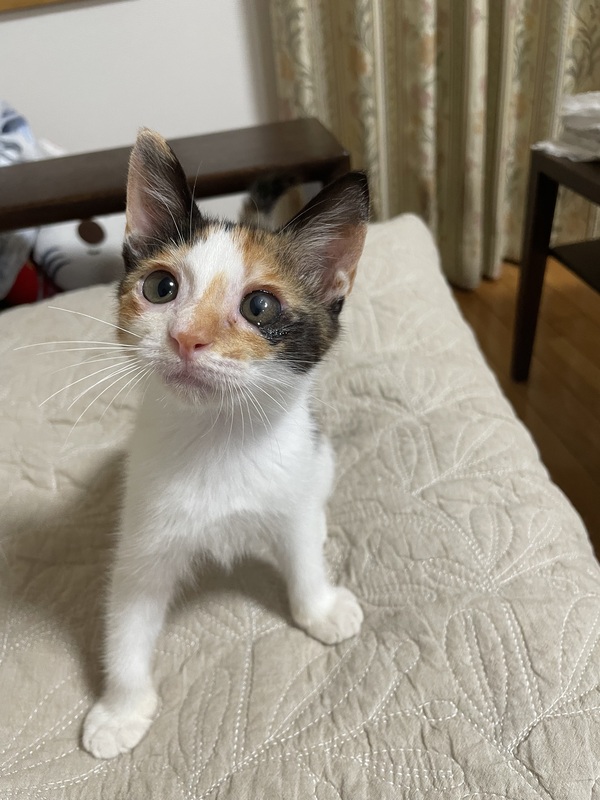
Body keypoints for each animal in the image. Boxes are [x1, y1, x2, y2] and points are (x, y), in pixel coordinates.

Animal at [82, 129, 369, 759]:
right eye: (160, 287)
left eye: (260, 306)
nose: (186, 337)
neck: (217, 439)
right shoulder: (145, 529)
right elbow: (126, 616)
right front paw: (121, 709)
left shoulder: (290, 487)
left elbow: (302, 554)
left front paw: (319, 608)